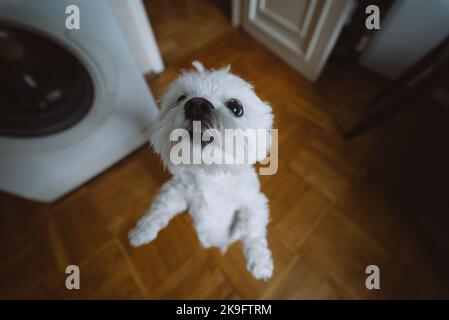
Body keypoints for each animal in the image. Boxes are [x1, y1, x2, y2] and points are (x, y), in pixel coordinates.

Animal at [127, 60, 272, 280]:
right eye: (180, 98)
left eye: (236, 107)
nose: (196, 104)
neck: (211, 172)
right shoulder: (177, 191)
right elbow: (159, 209)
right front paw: (142, 231)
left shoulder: (254, 202)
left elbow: (254, 232)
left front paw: (261, 263)